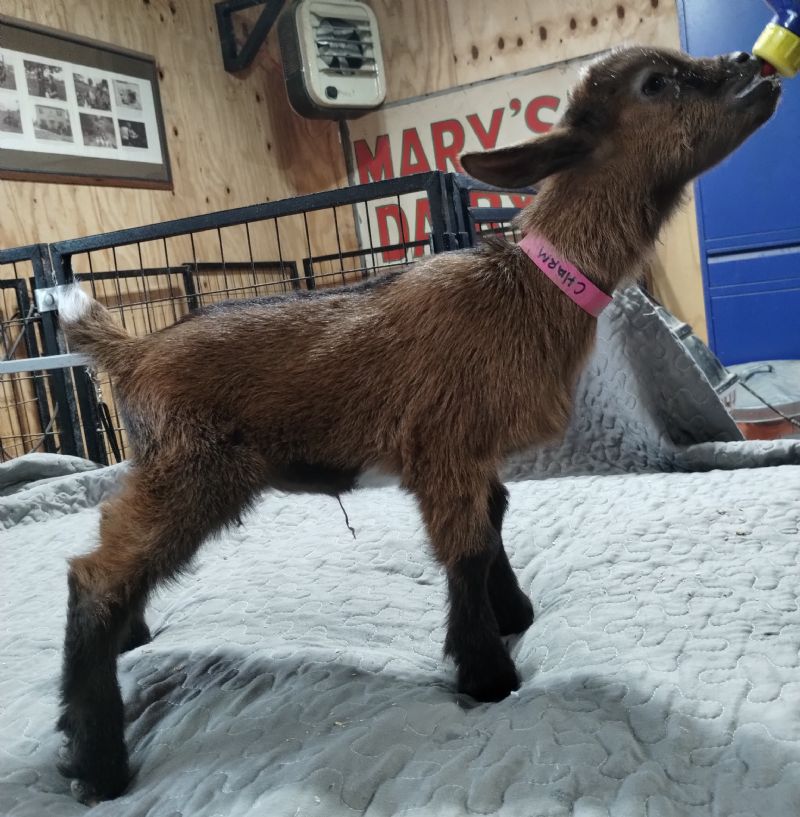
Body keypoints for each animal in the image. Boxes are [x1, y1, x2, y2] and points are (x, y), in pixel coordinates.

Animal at [55, 47, 779, 804]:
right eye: (656, 83)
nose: (750, 63)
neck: (527, 289)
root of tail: (131, 352)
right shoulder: (443, 447)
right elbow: (466, 549)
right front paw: (487, 673)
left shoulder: (478, 454)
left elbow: (495, 518)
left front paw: (514, 614)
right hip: (196, 468)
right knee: (93, 575)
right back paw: (98, 762)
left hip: (166, 467)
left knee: (114, 546)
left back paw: (132, 642)